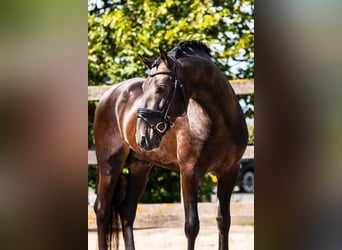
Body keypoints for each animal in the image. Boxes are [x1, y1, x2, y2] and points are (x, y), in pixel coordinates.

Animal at [93, 40, 248, 249]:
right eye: (144, 87)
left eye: (161, 87)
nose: (142, 136)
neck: (218, 122)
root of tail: (109, 94)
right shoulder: (189, 173)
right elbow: (191, 226)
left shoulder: (229, 172)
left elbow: (223, 221)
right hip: (109, 164)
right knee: (102, 209)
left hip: (140, 167)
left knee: (126, 210)